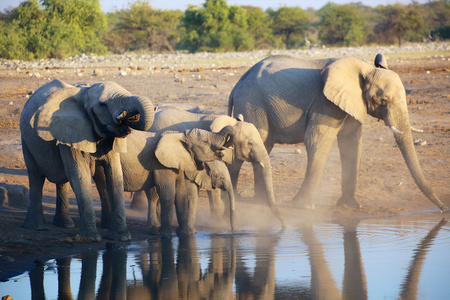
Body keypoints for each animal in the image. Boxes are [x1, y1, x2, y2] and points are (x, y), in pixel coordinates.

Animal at [20, 79, 156, 241]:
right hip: (26, 141)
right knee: (36, 176)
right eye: (102, 104)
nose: (127, 116)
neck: (84, 93)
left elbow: (115, 175)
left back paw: (67, 225)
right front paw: (91, 238)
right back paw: (37, 227)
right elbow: (80, 175)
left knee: (65, 180)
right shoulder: (71, 132)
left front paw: (122, 238)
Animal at [229, 53, 446, 211]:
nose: (444, 209)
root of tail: (236, 86)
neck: (365, 68)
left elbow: (352, 143)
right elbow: (318, 141)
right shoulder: (326, 104)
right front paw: (303, 207)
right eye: (383, 101)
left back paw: (251, 201)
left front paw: (351, 206)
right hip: (252, 105)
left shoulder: (350, 104)